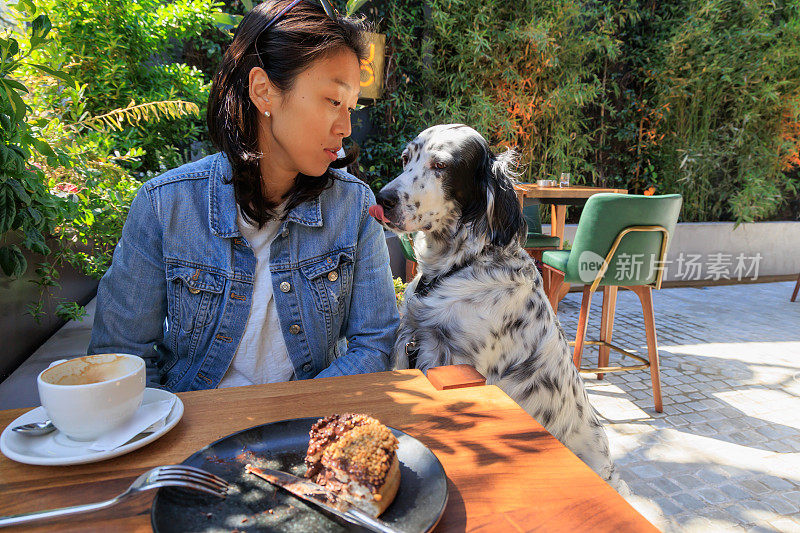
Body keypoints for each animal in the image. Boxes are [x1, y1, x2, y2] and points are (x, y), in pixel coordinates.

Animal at [372, 123, 628, 490]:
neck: (455, 267)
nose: (383, 198)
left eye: (441, 166)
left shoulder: (453, 360)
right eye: (406, 158)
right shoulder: (408, 340)